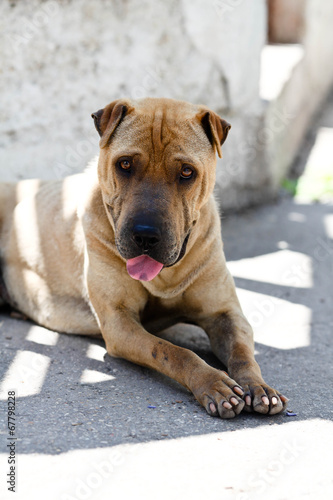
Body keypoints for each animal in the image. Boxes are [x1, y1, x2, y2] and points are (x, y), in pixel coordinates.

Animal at [0, 97, 286, 418]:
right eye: (125, 164)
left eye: (187, 172)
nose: (146, 236)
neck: (166, 276)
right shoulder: (120, 324)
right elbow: (172, 351)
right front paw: (213, 382)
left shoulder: (225, 314)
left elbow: (242, 353)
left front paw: (258, 386)